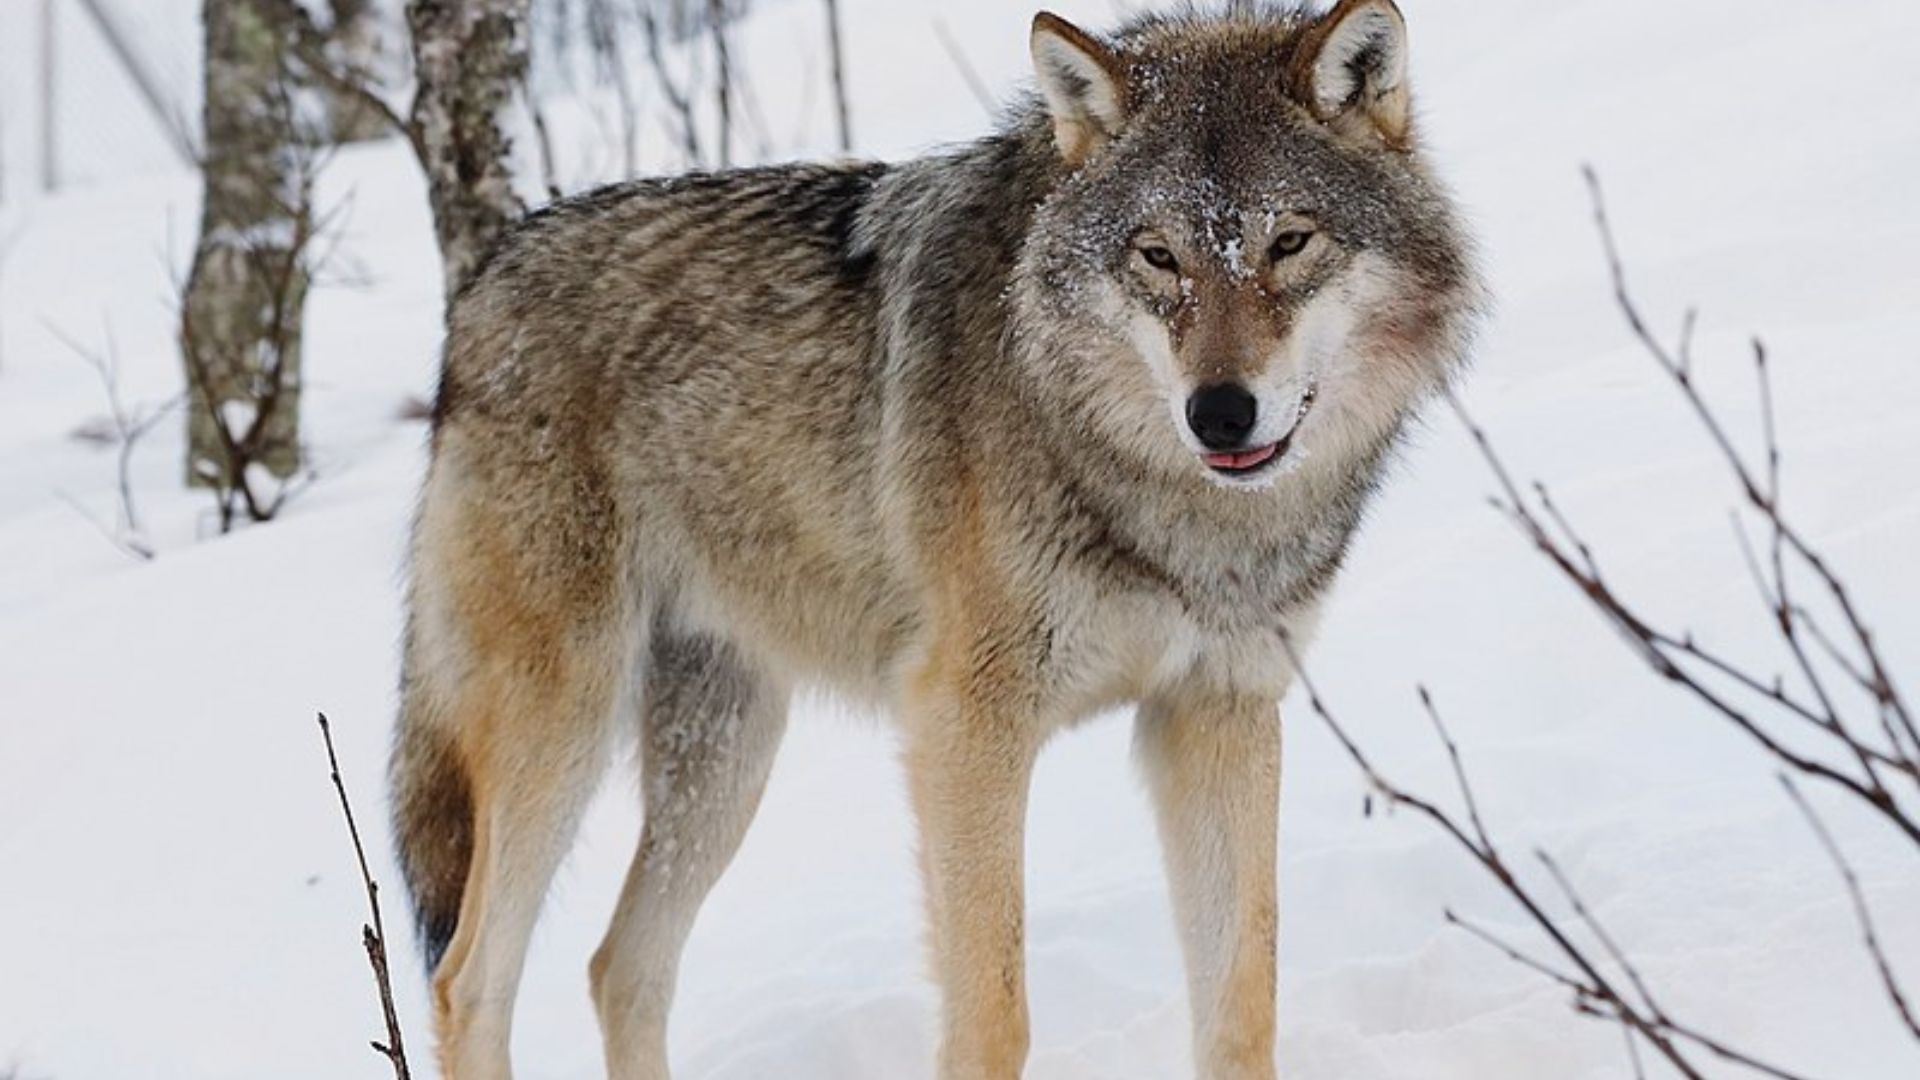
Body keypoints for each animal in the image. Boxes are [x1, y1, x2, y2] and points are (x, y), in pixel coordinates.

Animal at [393, 4, 1482, 1068]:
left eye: (1290, 242)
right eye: (1158, 256)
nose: (1219, 414)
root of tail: (482, 283)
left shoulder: (1217, 709)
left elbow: (1241, 1005)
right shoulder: (964, 726)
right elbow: (994, 1017)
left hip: (725, 757)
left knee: (619, 967)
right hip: (563, 728)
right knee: (466, 982)